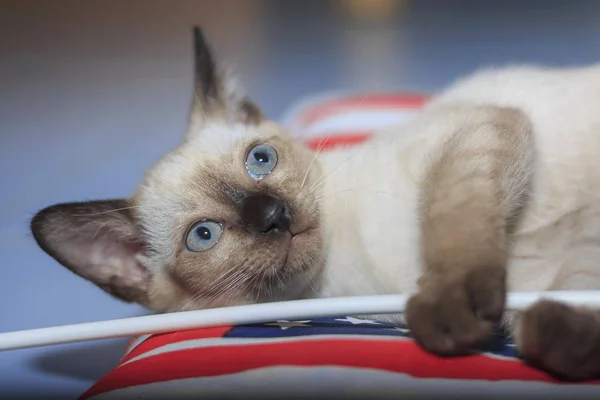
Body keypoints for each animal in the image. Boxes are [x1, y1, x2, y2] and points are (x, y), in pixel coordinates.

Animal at [30, 26, 600, 382]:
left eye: (260, 160)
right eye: (204, 236)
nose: (273, 216)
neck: (344, 275)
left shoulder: (482, 129)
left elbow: (453, 223)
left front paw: (448, 308)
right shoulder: (557, 274)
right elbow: (548, 319)